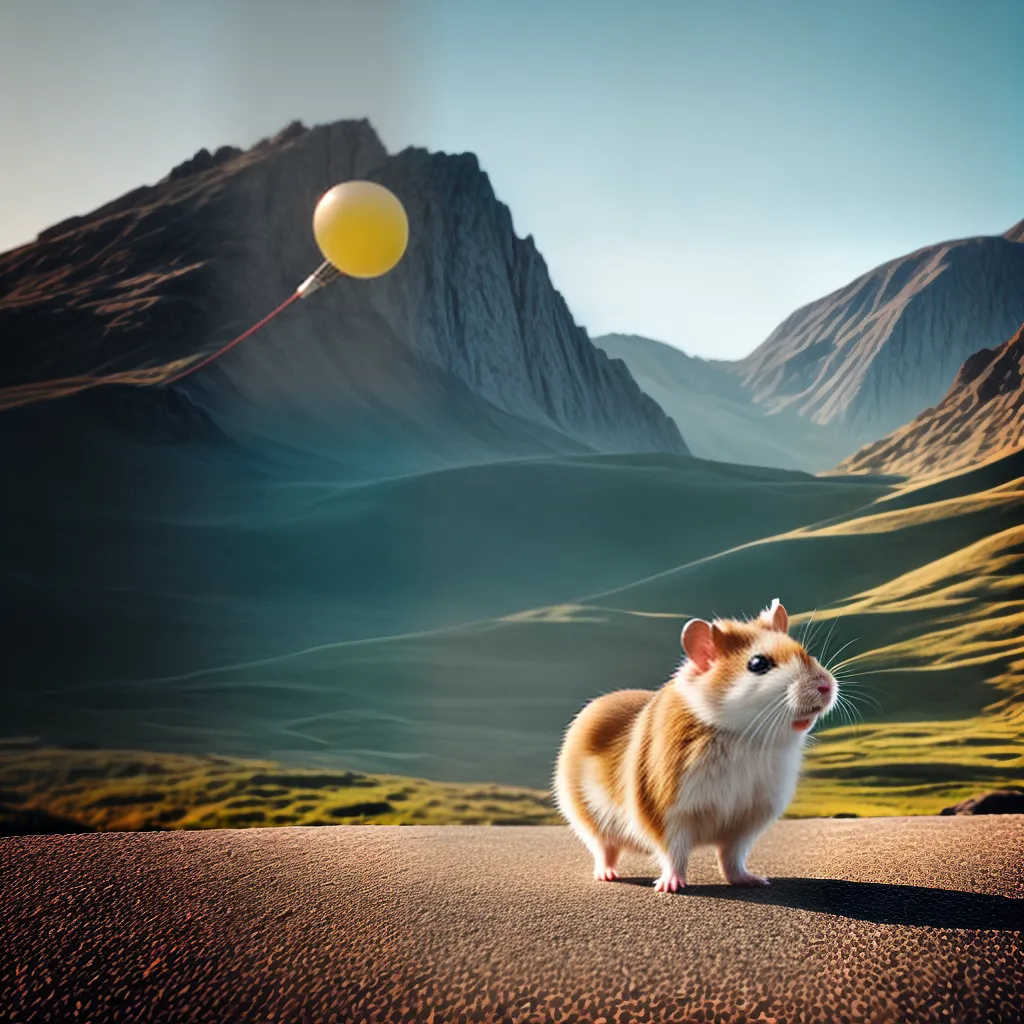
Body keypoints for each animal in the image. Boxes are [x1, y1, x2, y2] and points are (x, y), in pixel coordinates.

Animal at [553, 599, 837, 892]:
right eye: (758, 663)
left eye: (803, 652)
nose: (826, 686)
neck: (744, 736)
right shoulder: (666, 810)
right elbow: (673, 853)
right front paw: (670, 886)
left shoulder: (747, 819)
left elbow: (732, 856)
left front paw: (754, 881)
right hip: (586, 818)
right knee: (605, 848)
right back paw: (607, 874)